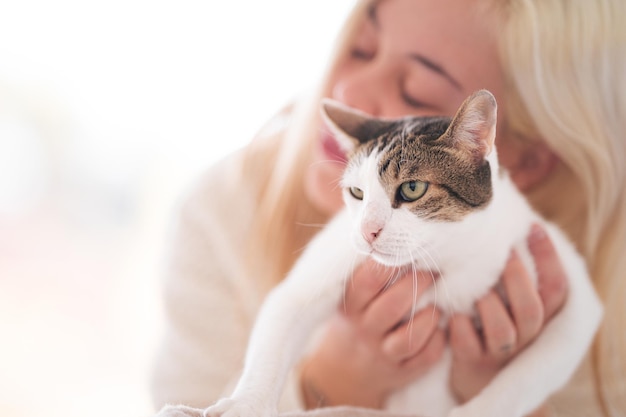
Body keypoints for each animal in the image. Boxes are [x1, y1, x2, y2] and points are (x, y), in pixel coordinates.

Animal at [160, 90, 600, 416]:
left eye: (412, 189)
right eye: (357, 193)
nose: (367, 231)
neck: (446, 257)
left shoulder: (570, 293)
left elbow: (527, 376)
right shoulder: (326, 265)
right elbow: (279, 328)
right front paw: (242, 405)